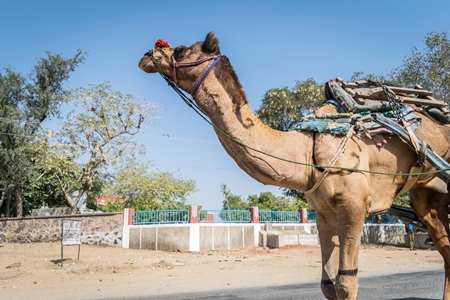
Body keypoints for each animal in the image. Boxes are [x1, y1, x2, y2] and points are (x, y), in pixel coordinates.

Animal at [139, 31, 450, 298]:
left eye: (180, 50)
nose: (147, 54)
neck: (306, 150)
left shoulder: (354, 203)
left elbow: (346, 283)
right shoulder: (324, 210)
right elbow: (328, 285)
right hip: (427, 194)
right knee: (445, 247)